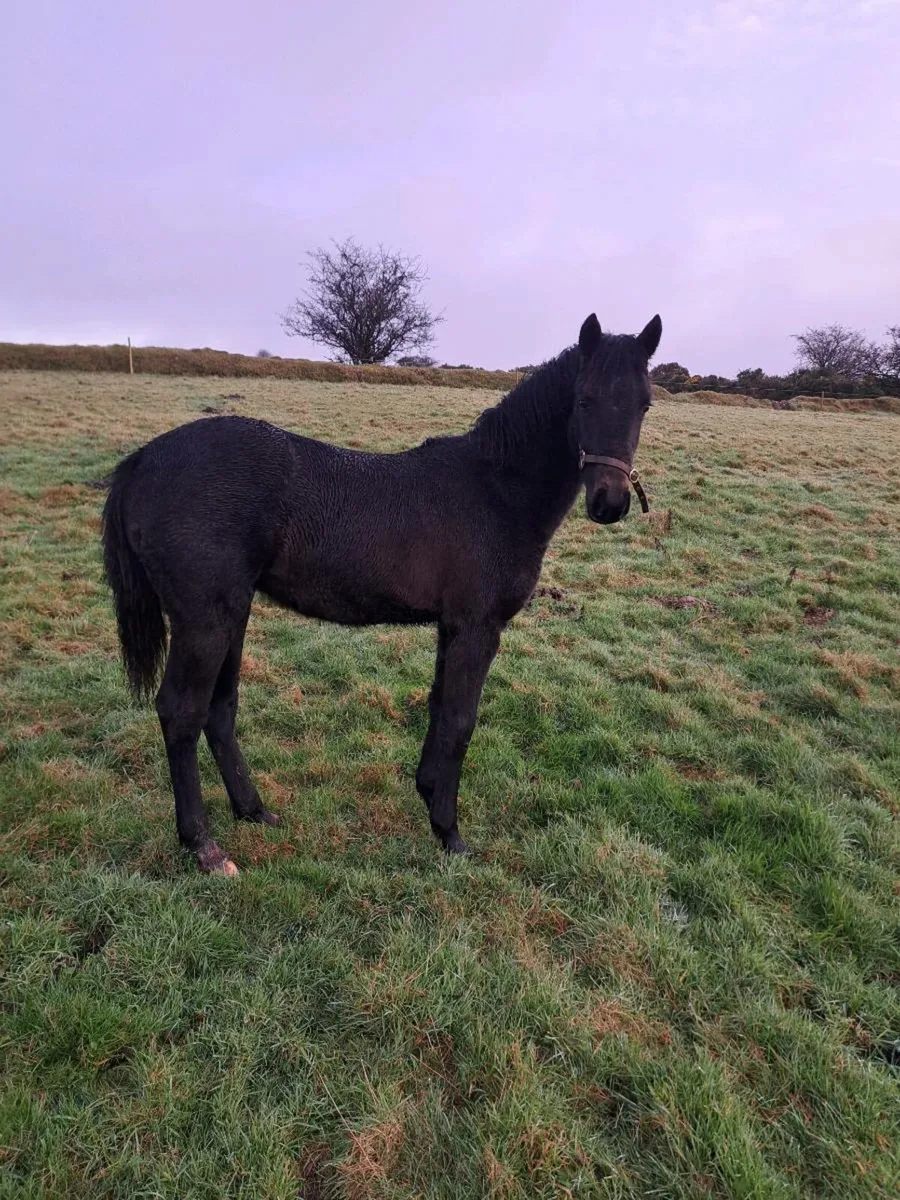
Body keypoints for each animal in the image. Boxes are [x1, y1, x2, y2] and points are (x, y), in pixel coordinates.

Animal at [102, 313, 662, 874]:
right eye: (584, 400)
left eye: (644, 404)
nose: (609, 502)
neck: (495, 491)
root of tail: (144, 460)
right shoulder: (477, 628)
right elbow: (460, 720)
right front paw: (450, 834)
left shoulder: (451, 627)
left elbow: (439, 708)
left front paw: (429, 797)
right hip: (205, 619)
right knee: (182, 712)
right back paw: (205, 846)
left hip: (232, 612)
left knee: (220, 709)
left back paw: (255, 812)